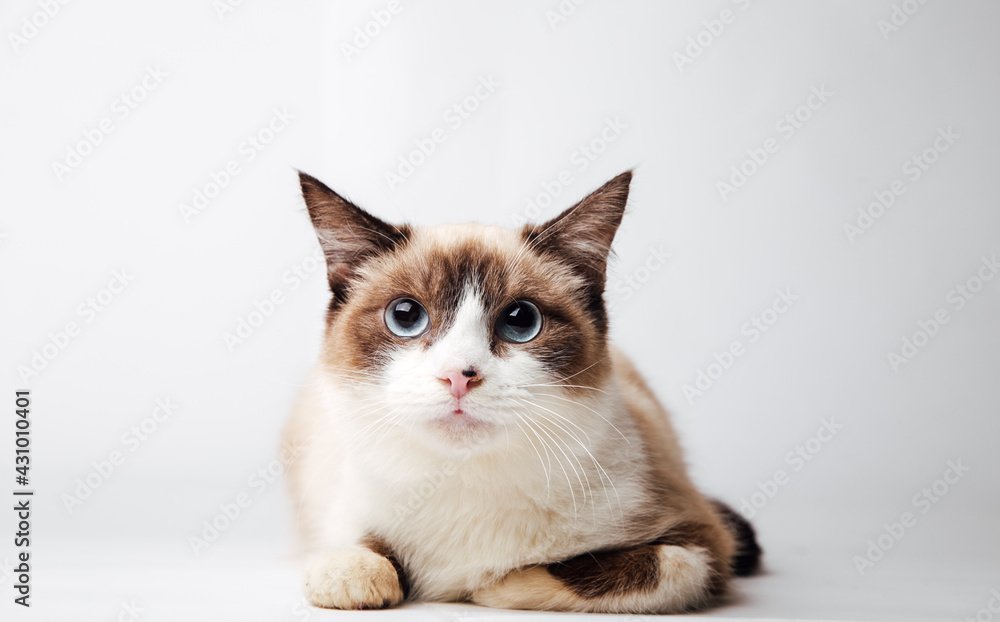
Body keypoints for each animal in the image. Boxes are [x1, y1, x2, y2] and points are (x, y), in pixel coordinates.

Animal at [282, 169, 756, 616]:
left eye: (520, 321)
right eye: (406, 316)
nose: (459, 376)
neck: (467, 480)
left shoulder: (702, 543)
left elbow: (612, 570)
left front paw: (489, 584)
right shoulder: (343, 501)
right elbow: (361, 554)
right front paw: (355, 572)